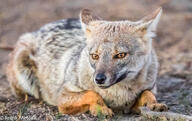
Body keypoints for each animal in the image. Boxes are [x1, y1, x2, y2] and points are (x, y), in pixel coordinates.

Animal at [6, 6, 168, 116]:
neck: (118, 96)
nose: (99, 79)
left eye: (120, 55)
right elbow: (91, 93)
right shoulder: (63, 97)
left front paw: (155, 104)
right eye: (94, 56)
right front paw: (100, 108)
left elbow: (147, 93)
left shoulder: (144, 93)